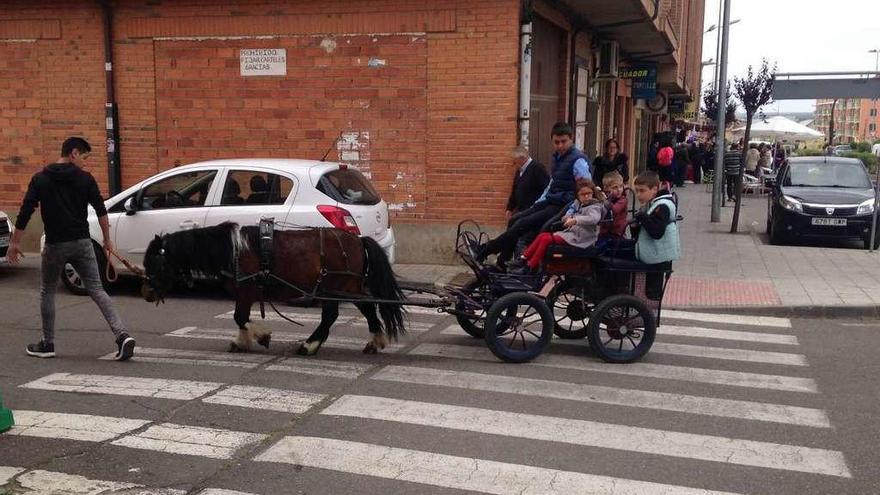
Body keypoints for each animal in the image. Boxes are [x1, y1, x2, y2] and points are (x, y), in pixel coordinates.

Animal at [141, 223, 406, 354]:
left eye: (154, 261)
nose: (147, 293)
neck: (234, 251)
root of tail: (358, 240)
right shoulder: (245, 292)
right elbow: (241, 318)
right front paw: (242, 342)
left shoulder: (246, 289)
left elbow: (240, 317)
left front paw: (261, 336)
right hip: (344, 287)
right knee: (365, 309)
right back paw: (372, 342)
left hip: (335, 287)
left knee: (335, 315)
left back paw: (310, 346)